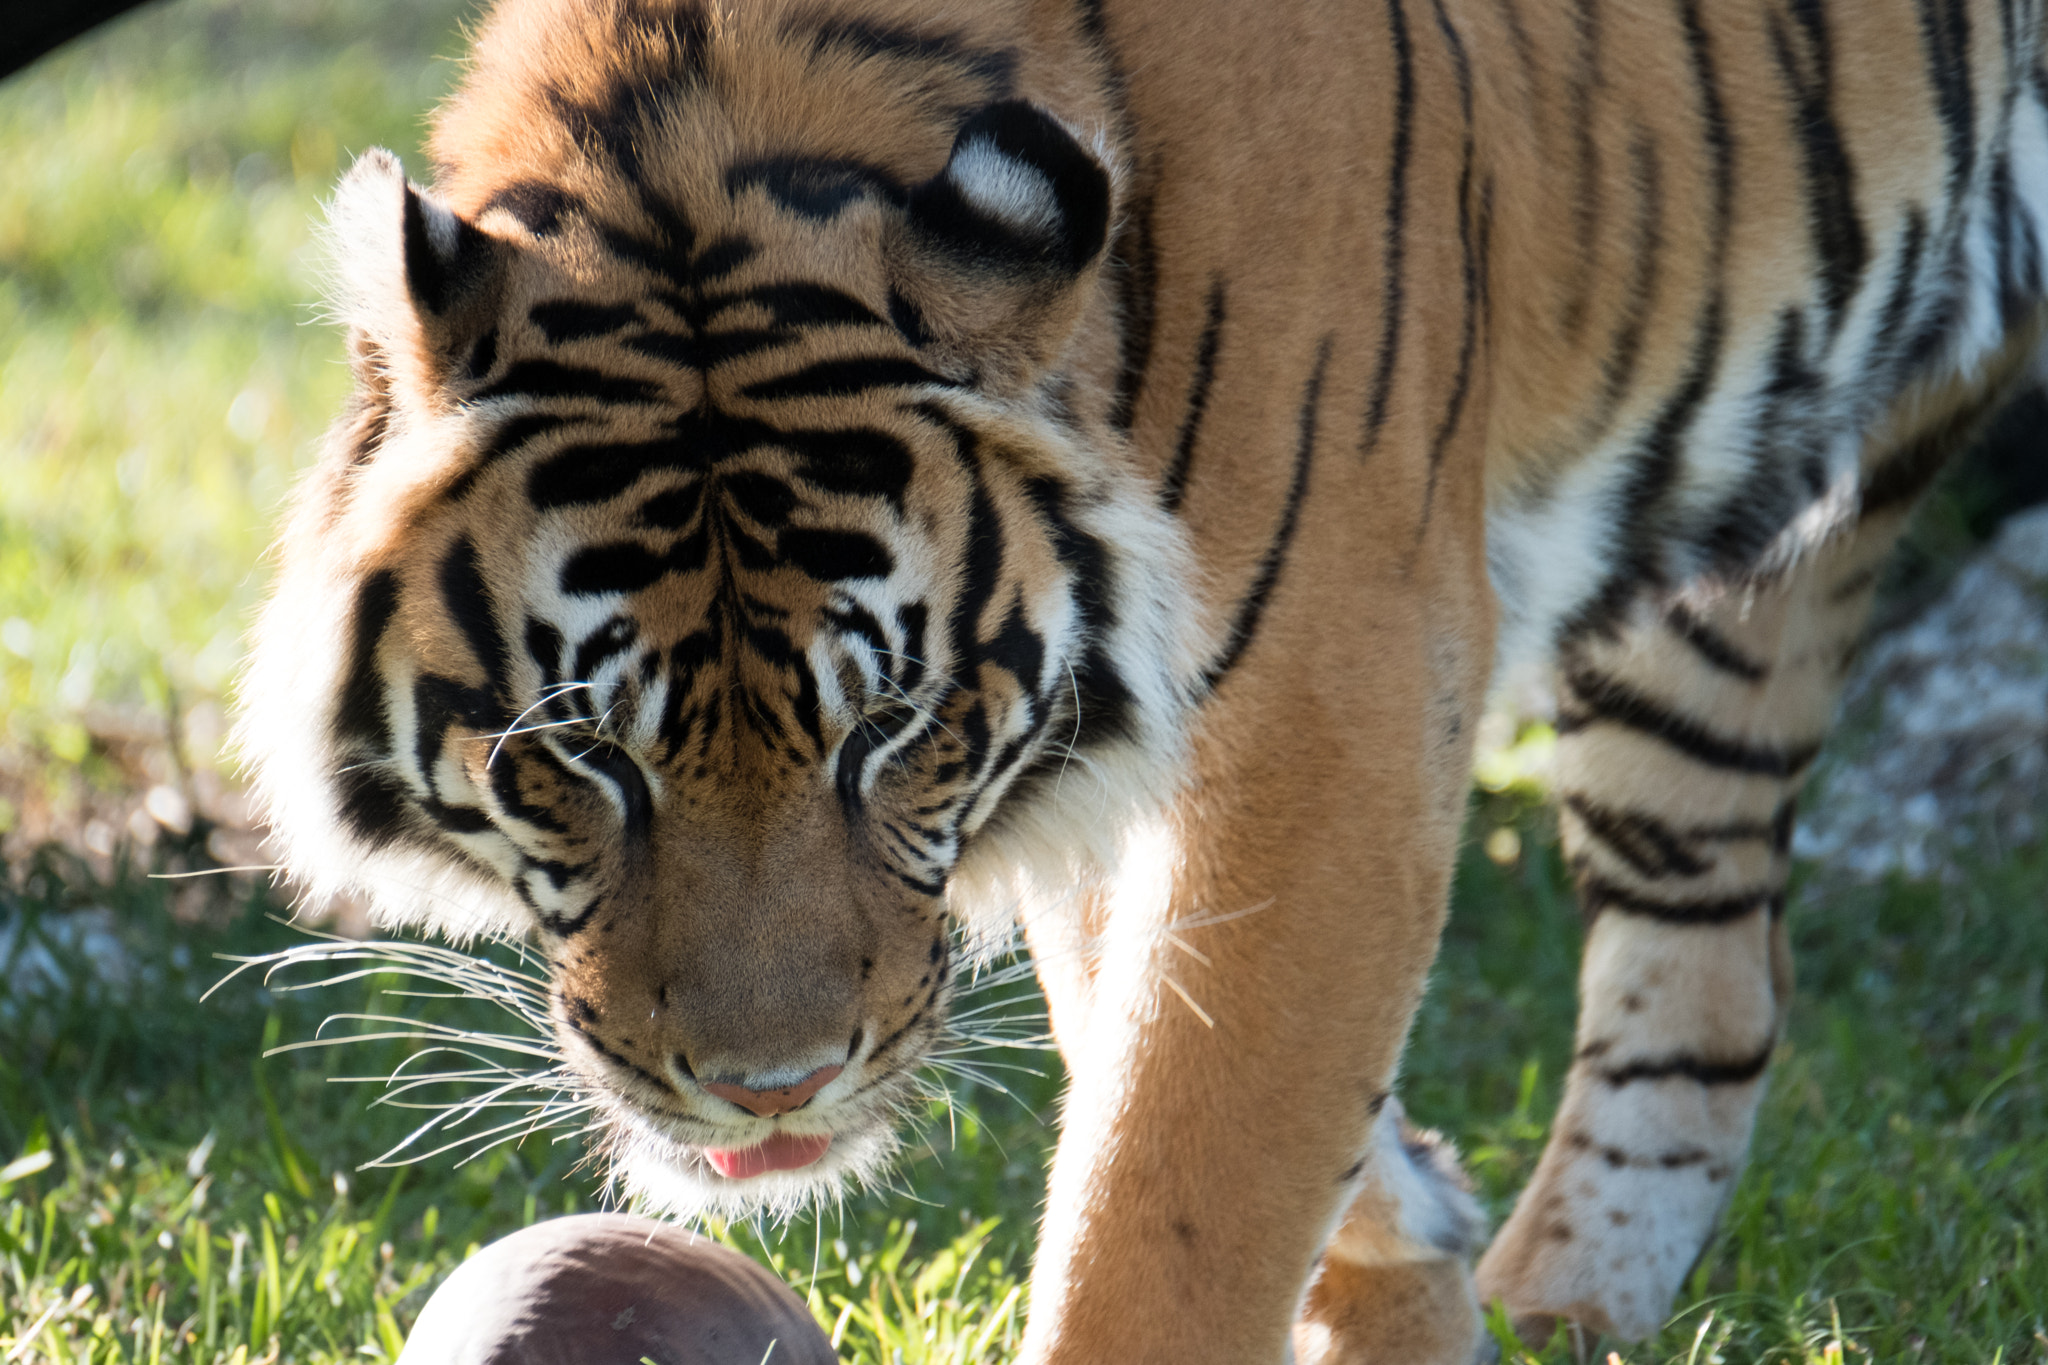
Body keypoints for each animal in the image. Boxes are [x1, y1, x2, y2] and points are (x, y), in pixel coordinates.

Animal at [235, 0, 2048, 1358]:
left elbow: (1183, 1181)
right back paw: (1561, 1312)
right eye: (584, 755)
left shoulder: (1341, 691)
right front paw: (1414, 1257)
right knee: (1713, 968)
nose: (774, 1091)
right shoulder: (1120, 742)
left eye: (888, 729)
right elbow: (1161, 1037)